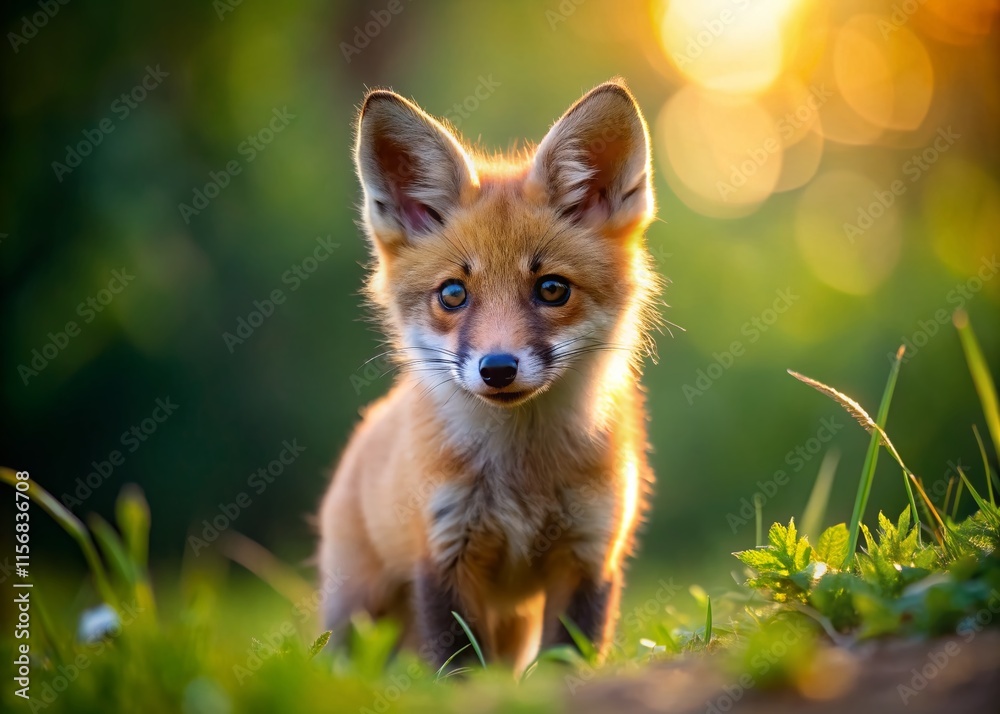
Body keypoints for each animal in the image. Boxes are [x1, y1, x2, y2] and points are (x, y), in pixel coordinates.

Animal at [317, 78, 662, 674]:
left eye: (552, 289)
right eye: (453, 294)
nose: (497, 368)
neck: (523, 475)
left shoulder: (590, 553)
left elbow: (565, 662)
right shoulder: (443, 554)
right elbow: (458, 669)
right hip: (359, 615)